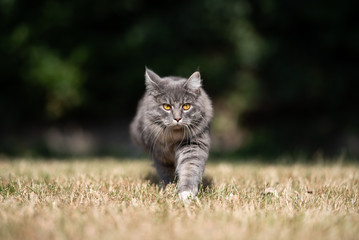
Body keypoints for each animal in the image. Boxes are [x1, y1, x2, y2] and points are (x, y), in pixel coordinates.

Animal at [130, 68, 212, 202]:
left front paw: (186, 193)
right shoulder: (159, 155)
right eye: (167, 106)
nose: (177, 118)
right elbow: (166, 173)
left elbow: (189, 169)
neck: (173, 138)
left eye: (186, 106)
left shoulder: (193, 145)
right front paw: (169, 187)